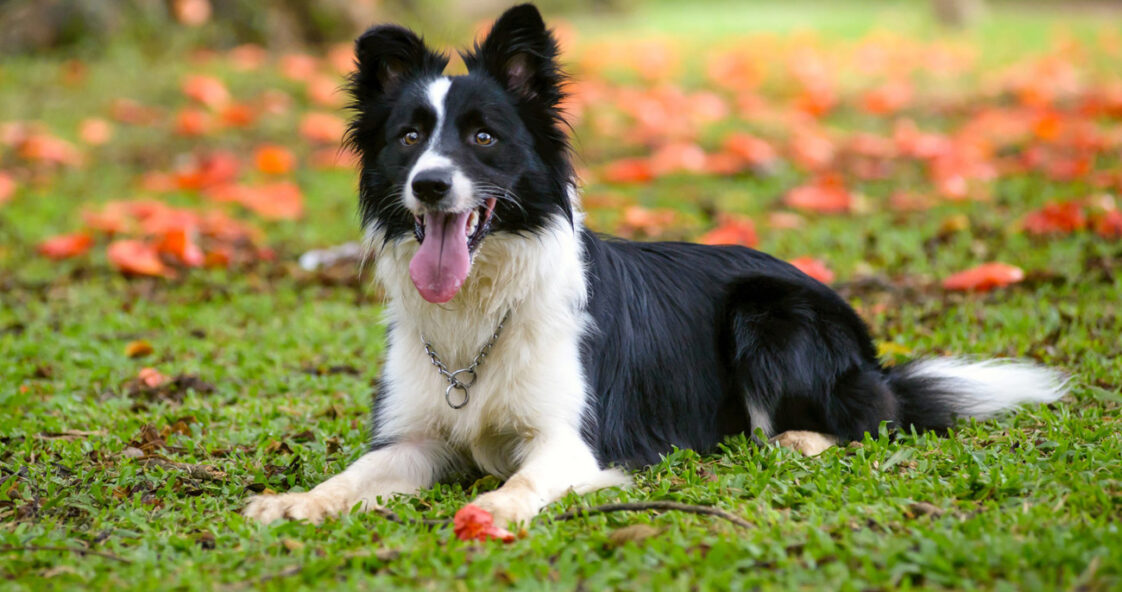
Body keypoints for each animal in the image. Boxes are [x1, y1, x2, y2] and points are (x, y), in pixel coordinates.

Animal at [241, 3, 1063, 522]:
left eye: (482, 137)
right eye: (410, 137)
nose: (430, 185)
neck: (483, 308)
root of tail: (869, 351)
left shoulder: (573, 440)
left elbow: (529, 477)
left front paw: (496, 507)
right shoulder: (415, 438)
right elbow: (355, 473)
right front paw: (296, 502)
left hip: (768, 313)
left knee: (871, 418)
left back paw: (798, 439)